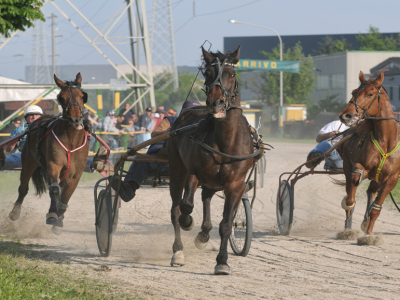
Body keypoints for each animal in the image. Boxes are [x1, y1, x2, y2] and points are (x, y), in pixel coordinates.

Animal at [8, 72, 90, 234]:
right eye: (61, 97)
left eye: (82, 96)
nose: (75, 119)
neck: (71, 140)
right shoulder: (54, 165)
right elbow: (55, 189)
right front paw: (52, 215)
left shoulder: (76, 174)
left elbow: (66, 196)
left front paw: (59, 220)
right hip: (28, 162)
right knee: (23, 189)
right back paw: (15, 213)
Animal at [167, 46, 258, 274]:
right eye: (207, 73)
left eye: (231, 74)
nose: (216, 102)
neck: (226, 140)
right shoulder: (193, 173)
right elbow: (186, 206)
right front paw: (188, 222)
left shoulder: (236, 184)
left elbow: (226, 224)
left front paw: (222, 262)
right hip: (176, 169)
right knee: (175, 208)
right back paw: (178, 251)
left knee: (206, 197)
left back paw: (204, 233)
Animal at [338, 71, 400, 237]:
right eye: (353, 92)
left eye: (370, 94)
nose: (345, 115)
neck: (386, 141)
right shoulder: (361, 167)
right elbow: (351, 194)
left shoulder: (391, 179)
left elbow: (376, 209)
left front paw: (368, 235)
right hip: (347, 165)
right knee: (353, 187)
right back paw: (347, 229)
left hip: (379, 178)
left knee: (371, 190)